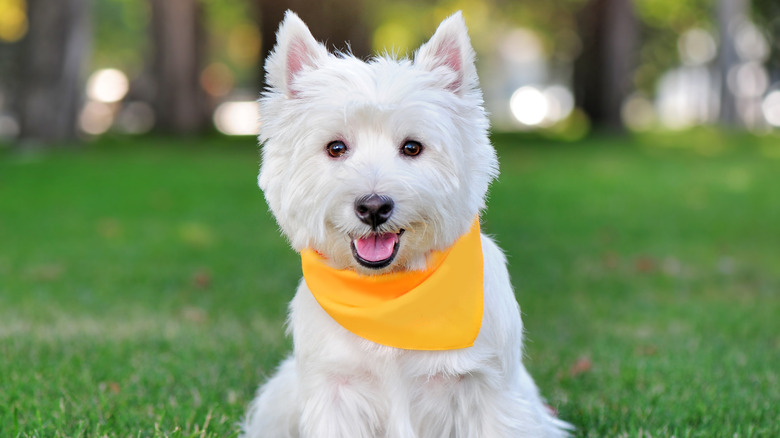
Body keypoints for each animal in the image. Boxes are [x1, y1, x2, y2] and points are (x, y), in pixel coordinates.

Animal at [241, 10, 568, 438]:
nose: (373, 206)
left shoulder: (488, 390)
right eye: (336, 147)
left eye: (412, 147)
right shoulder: (335, 391)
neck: (388, 295)